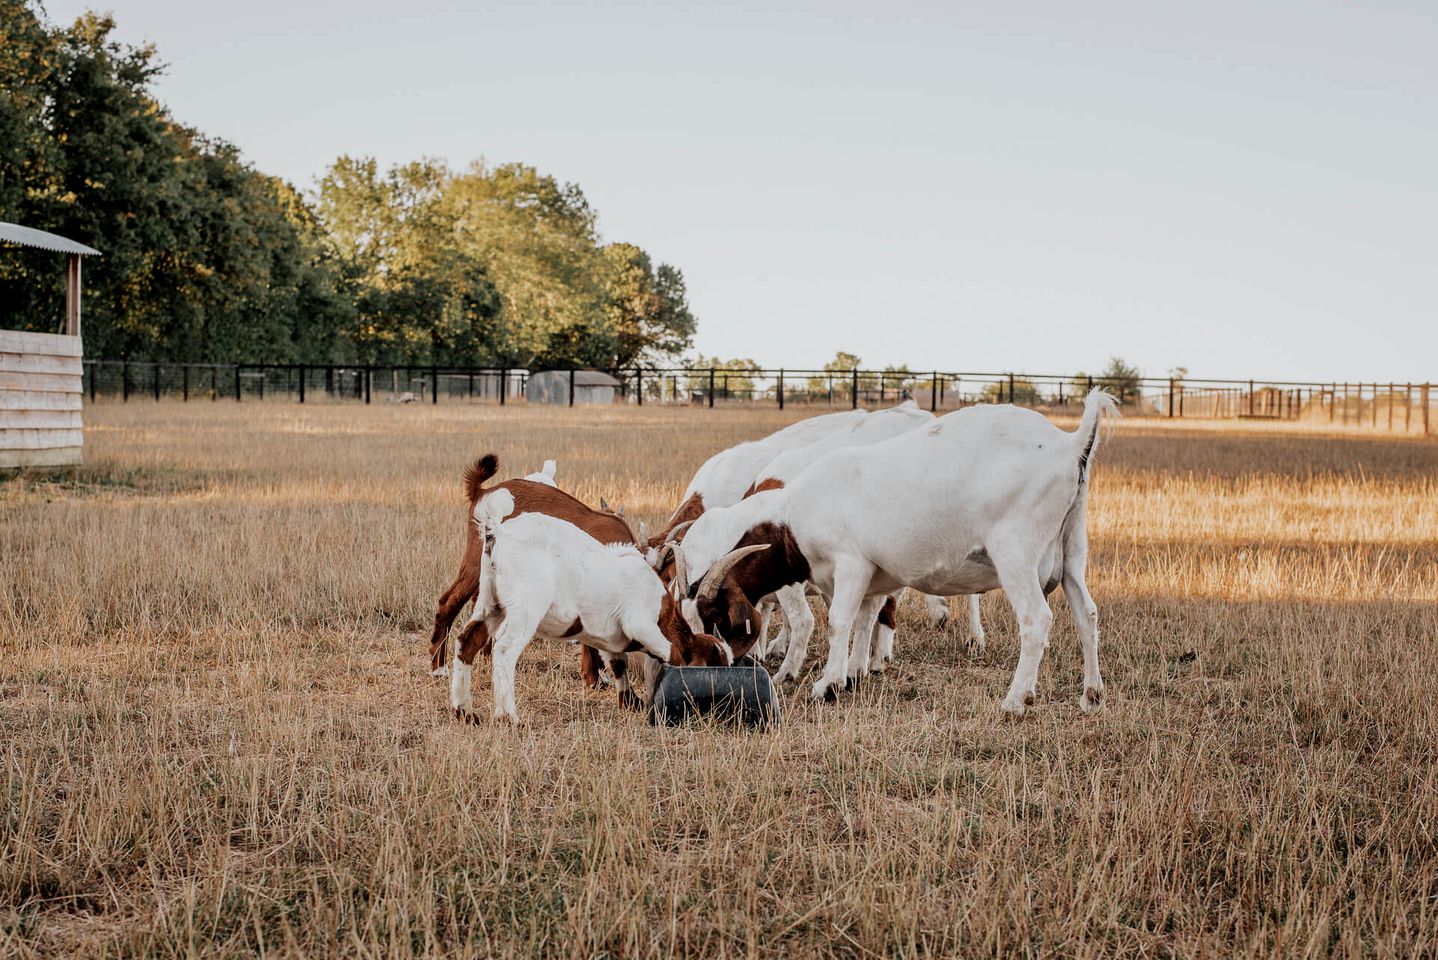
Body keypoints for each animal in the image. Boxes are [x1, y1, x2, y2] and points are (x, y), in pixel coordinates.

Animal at [451, 491, 730, 724]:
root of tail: (497, 532)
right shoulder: (640, 624)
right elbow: (672, 655)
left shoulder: (611, 636)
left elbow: (617, 663)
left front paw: (630, 702)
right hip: (525, 608)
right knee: (505, 649)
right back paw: (508, 717)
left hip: (490, 602)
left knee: (468, 640)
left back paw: (464, 711)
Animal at [678, 388, 1115, 712]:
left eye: (715, 616)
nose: (706, 667)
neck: (793, 514)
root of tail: (1071, 445)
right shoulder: (873, 575)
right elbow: (865, 618)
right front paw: (853, 674)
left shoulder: (851, 564)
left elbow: (839, 621)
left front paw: (826, 685)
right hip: (1072, 547)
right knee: (1087, 613)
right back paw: (1091, 694)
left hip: (1016, 552)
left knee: (1036, 619)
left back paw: (1015, 700)